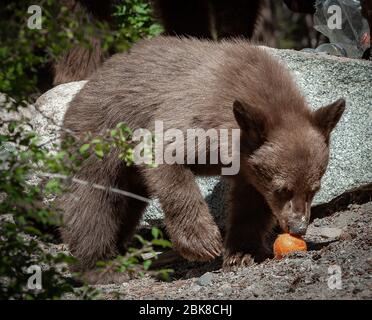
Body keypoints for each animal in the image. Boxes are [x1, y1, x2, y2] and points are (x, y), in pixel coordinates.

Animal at [61, 36, 346, 284]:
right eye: (282, 189)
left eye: (314, 189)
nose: (298, 228)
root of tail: (90, 81)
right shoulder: (199, 111)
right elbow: (163, 153)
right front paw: (203, 243)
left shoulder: (250, 167)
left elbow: (250, 204)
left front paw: (242, 253)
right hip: (99, 136)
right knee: (93, 202)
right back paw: (102, 267)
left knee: (126, 205)